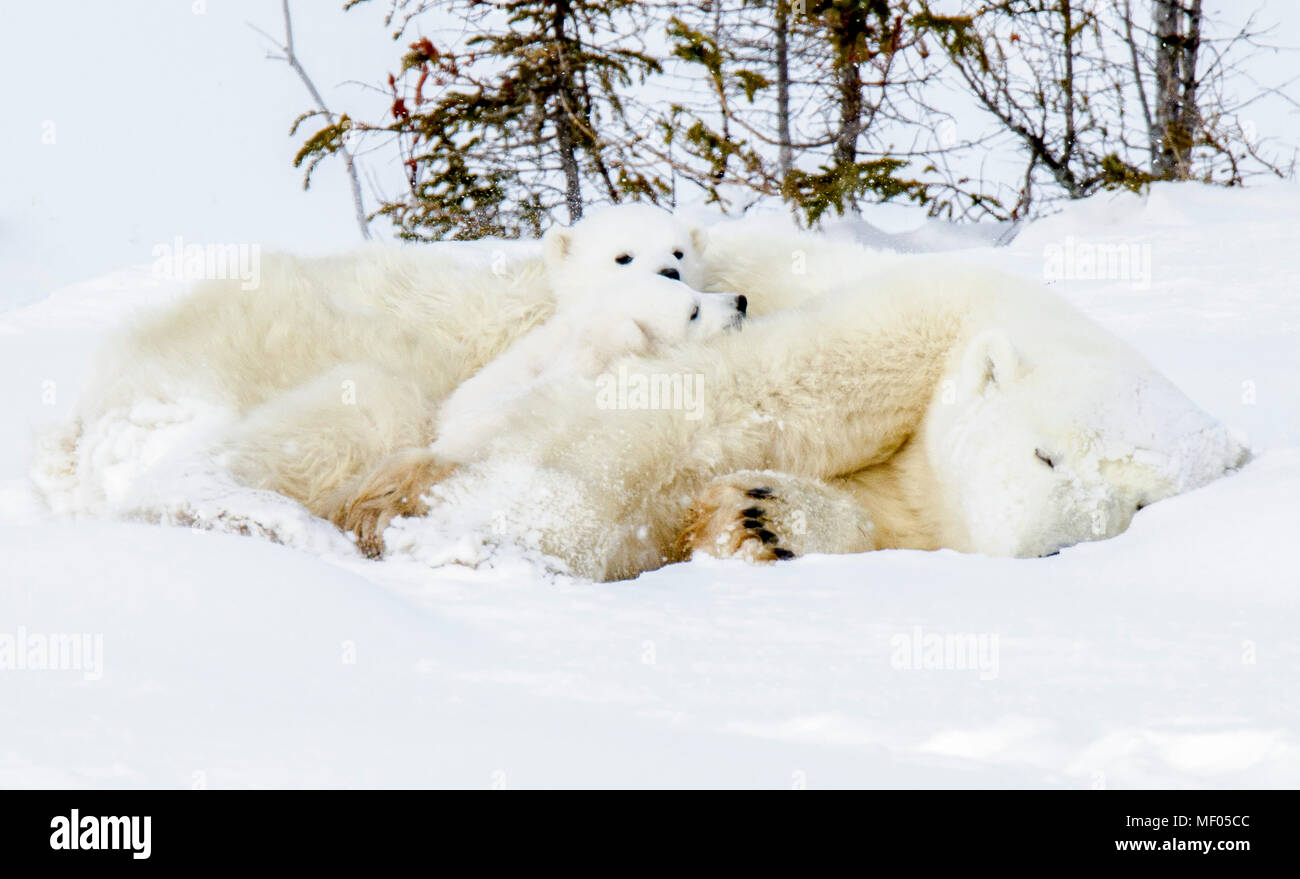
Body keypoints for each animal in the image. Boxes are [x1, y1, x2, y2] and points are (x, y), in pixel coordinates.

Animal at [35, 202, 1242, 579]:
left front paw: (762, 518)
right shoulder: (913, 316)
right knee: (351, 409)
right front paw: (480, 539)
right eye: (1046, 455)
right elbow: (722, 397)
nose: (1051, 549)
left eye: (1135, 507)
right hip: (280, 342)